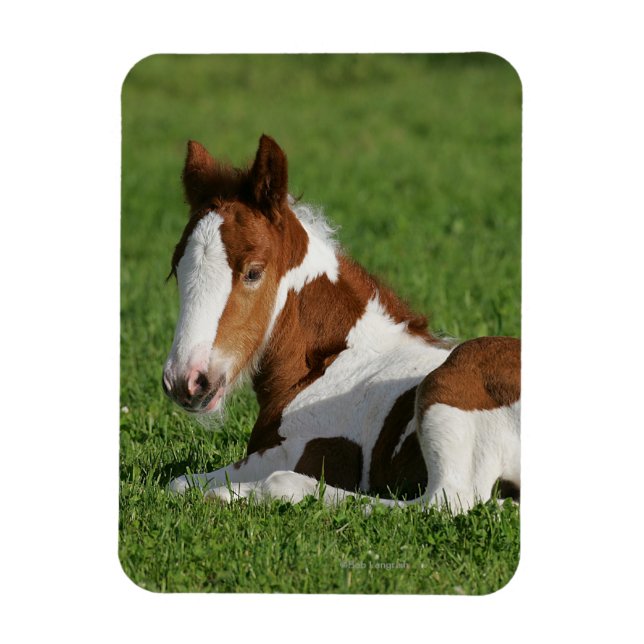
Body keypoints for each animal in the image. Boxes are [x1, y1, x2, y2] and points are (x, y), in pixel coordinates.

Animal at [163, 134, 520, 512]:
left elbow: (184, 482)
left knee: (444, 501)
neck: (334, 361)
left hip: (448, 388)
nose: (186, 382)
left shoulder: (300, 450)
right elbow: (180, 483)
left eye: (253, 272)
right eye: (175, 270)